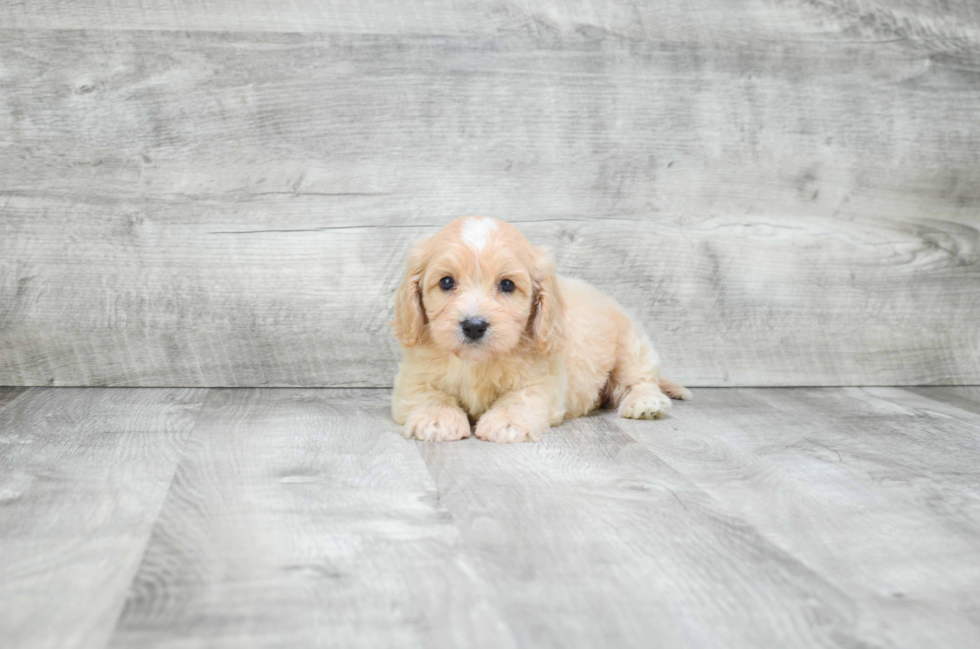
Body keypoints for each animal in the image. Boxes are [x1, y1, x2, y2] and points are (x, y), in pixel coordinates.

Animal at [390, 215, 688, 442]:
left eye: (507, 285)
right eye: (446, 282)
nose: (474, 326)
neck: (478, 362)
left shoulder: (543, 380)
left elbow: (521, 398)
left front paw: (506, 423)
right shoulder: (414, 377)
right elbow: (429, 395)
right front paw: (436, 418)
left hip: (630, 344)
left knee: (639, 379)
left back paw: (645, 403)